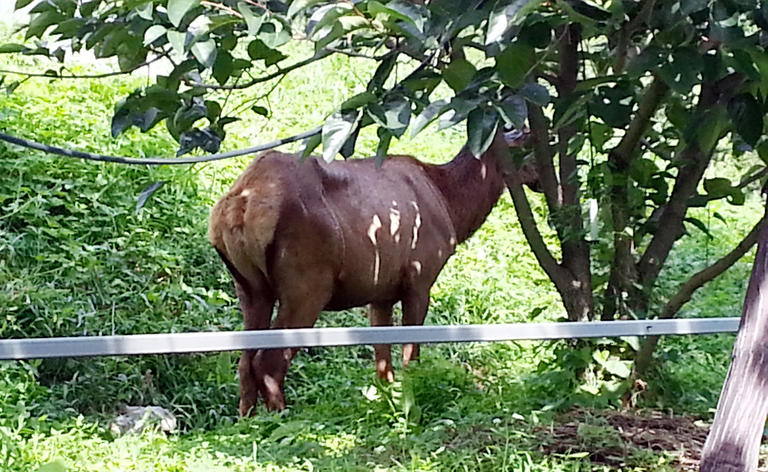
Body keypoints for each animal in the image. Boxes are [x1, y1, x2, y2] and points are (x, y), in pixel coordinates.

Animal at [207, 128, 536, 412]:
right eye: (530, 142)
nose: (542, 182)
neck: (451, 205)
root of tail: (239, 206)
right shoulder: (420, 277)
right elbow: (411, 357)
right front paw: (412, 401)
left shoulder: (380, 292)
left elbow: (383, 363)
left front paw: (388, 403)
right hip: (307, 283)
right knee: (269, 362)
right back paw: (280, 417)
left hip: (250, 287)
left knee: (245, 361)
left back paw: (247, 419)